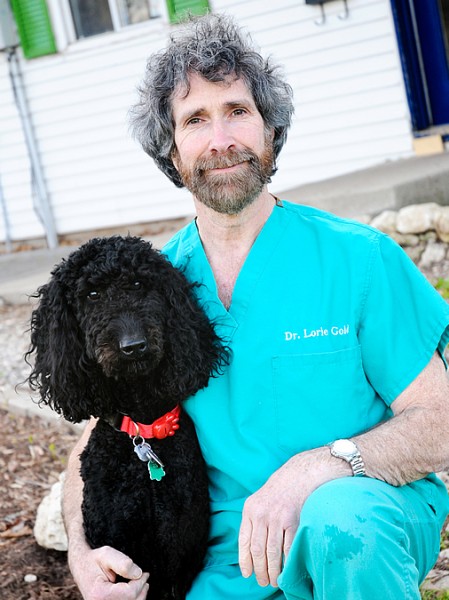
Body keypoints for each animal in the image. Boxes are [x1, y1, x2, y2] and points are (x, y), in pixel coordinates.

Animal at [26, 235, 228, 599]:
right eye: (92, 295)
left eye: (138, 284)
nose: (133, 346)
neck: (143, 429)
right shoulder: (118, 547)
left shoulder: (181, 552)